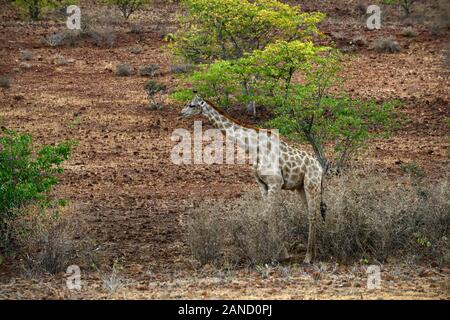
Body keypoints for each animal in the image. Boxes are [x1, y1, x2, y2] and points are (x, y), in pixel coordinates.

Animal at [179, 92, 326, 262]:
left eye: (191, 105)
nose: (181, 113)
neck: (254, 148)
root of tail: (320, 167)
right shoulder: (263, 185)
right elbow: (270, 216)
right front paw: (281, 254)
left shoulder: (276, 183)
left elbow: (267, 215)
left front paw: (277, 255)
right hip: (300, 187)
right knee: (311, 212)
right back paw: (313, 253)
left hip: (311, 184)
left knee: (312, 214)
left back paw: (308, 257)